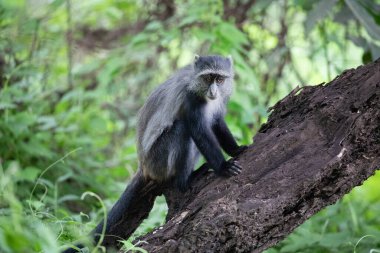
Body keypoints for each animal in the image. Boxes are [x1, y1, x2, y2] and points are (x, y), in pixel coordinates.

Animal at [62, 54, 246, 252]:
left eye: (219, 79)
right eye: (207, 78)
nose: (213, 91)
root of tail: (143, 166)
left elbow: (217, 123)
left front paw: (236, 149)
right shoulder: (190, 99)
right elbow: (200, 132)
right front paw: (223, 167)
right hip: (158, 159)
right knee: (183, 128)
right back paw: (186, 180)